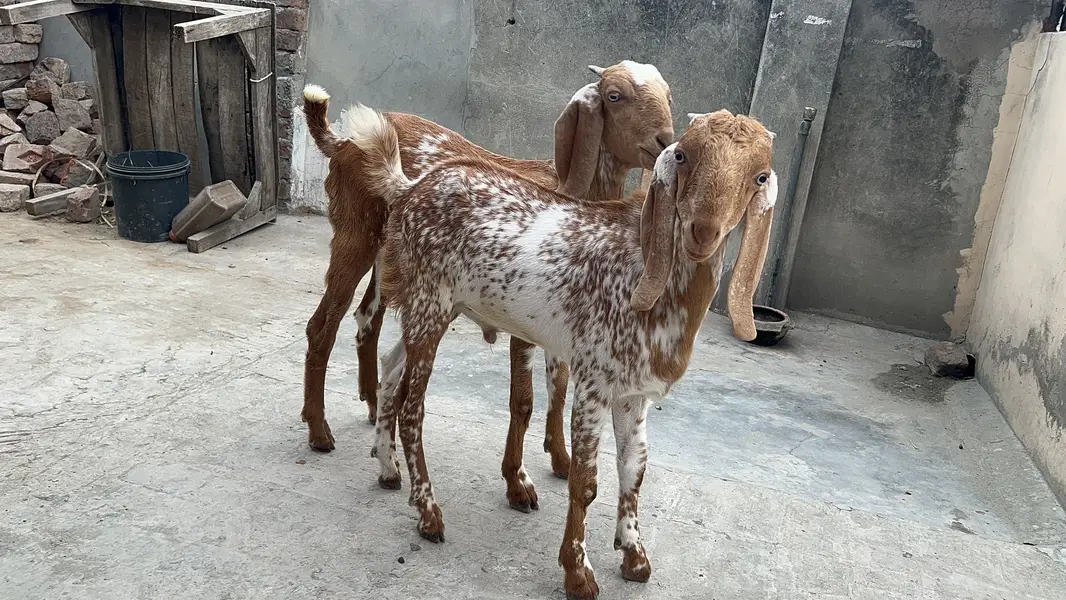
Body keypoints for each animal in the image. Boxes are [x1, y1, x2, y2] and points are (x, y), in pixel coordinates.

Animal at [300, 62, 674, 508]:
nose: (666, 140)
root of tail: (342, 140)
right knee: (323, 324)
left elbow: (559, 387)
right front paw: (518, 483)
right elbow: (523, 400)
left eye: (667, 94)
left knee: (367, 320)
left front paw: (561, 460)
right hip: (355, 234)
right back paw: (319, 430)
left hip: (393, 263)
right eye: (615, 95)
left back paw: (376, 417)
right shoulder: (525, 321)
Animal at [347, 106, 777, 599]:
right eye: (684, 155)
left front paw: (634, 554)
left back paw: (387, 468)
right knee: (411, 410)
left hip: (435, 309)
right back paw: (428, 513)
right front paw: (578, 571)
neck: (642, 269)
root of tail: (410, 188)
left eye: (759, 176)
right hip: (429, 302)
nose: (701, 232)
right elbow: (584, 483)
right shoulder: (593, 382)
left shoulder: (634, 394)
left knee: (390, 366)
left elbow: (634, 468)